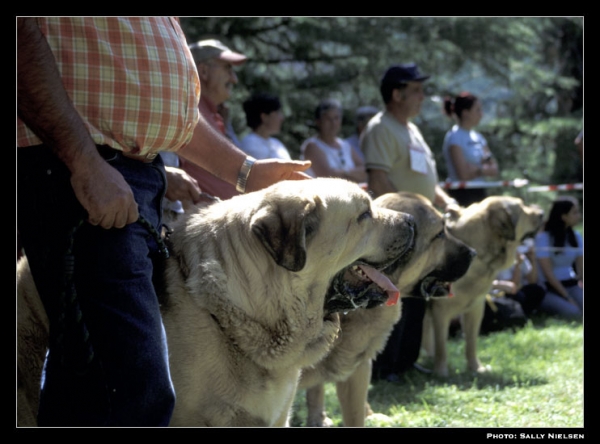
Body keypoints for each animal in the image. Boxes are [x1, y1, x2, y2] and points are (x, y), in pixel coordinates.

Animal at [422, 196, 544, 376]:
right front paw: (441, 372)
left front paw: (475, 368)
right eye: (522, 208)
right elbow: (442, 345)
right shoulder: (441, 310)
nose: (542, 213)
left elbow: (471, 342)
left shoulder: (476, 307)